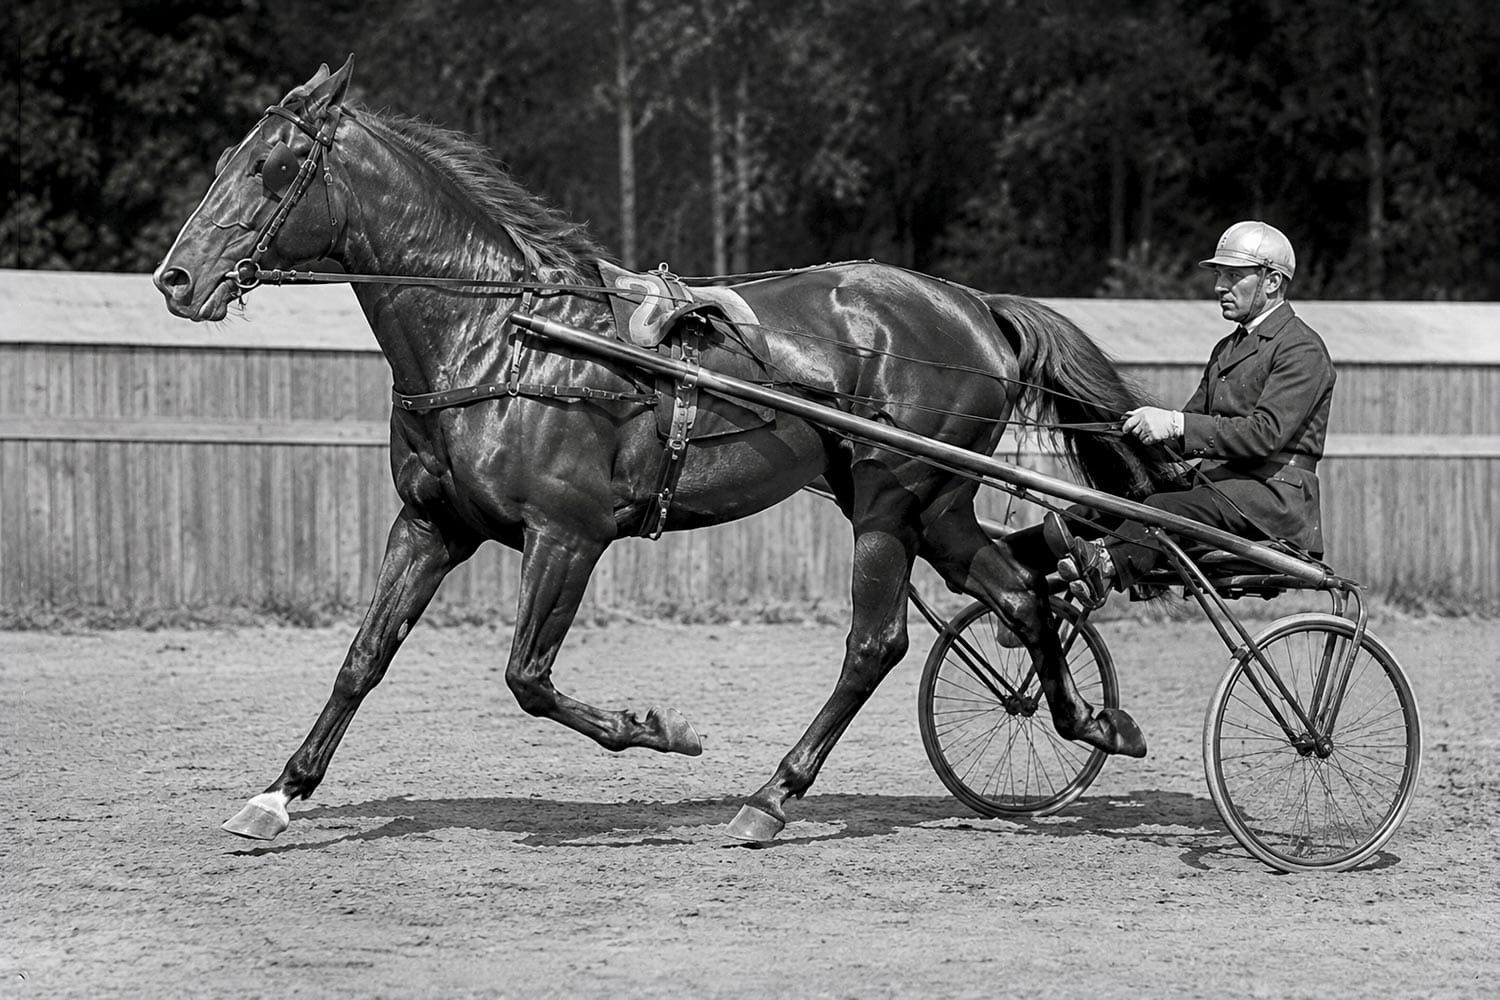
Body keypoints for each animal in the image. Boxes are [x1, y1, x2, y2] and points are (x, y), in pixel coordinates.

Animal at [153, 58, 1180, 842]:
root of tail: (972, 307)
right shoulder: (431, 524)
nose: (177, 277)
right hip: (929, 504)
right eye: (229, 157)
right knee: (1026, 589)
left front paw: (659, 730)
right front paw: (278, 795)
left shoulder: (567, 534)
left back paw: (771, 797)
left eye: (274, 165)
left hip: (896, 498)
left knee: (877, 643)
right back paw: (1089, 717)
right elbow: (363, 659)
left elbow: (528, 678)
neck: (501, 337)